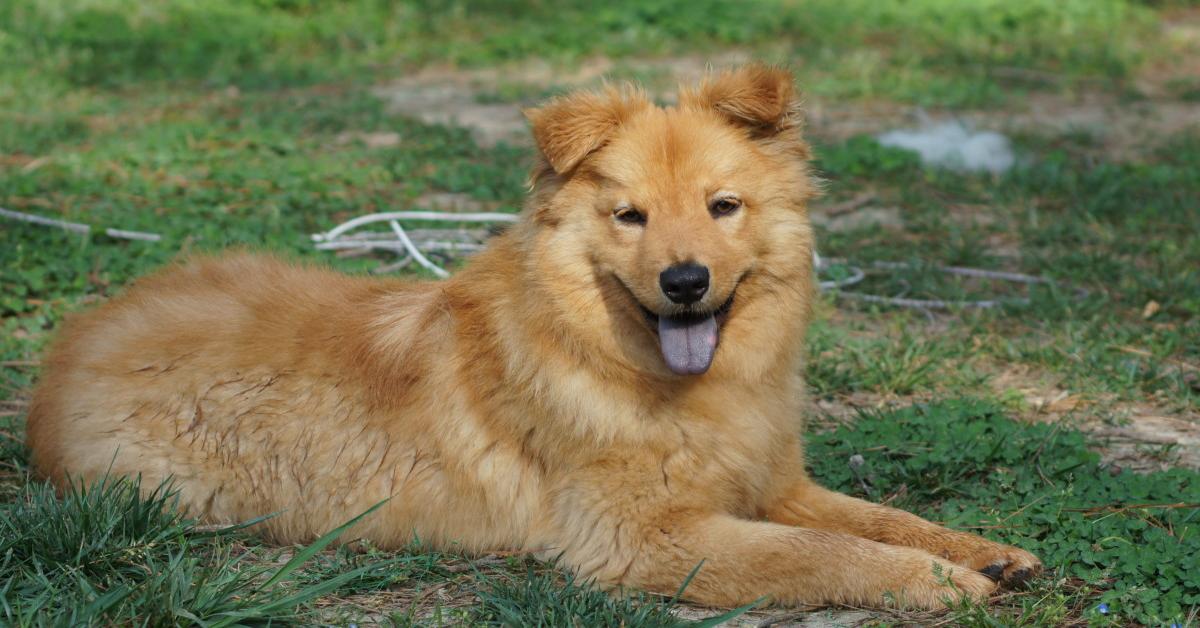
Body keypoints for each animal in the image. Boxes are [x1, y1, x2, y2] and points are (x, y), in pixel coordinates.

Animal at [28, 67, 1041, 609]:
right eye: (631, 216)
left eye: (723, 207)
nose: (685, 282)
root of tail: (71, 347)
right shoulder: (642, 539)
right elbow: (818, 554)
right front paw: (936, 582)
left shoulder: (770, 483)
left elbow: (869, 517)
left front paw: (979, 549)